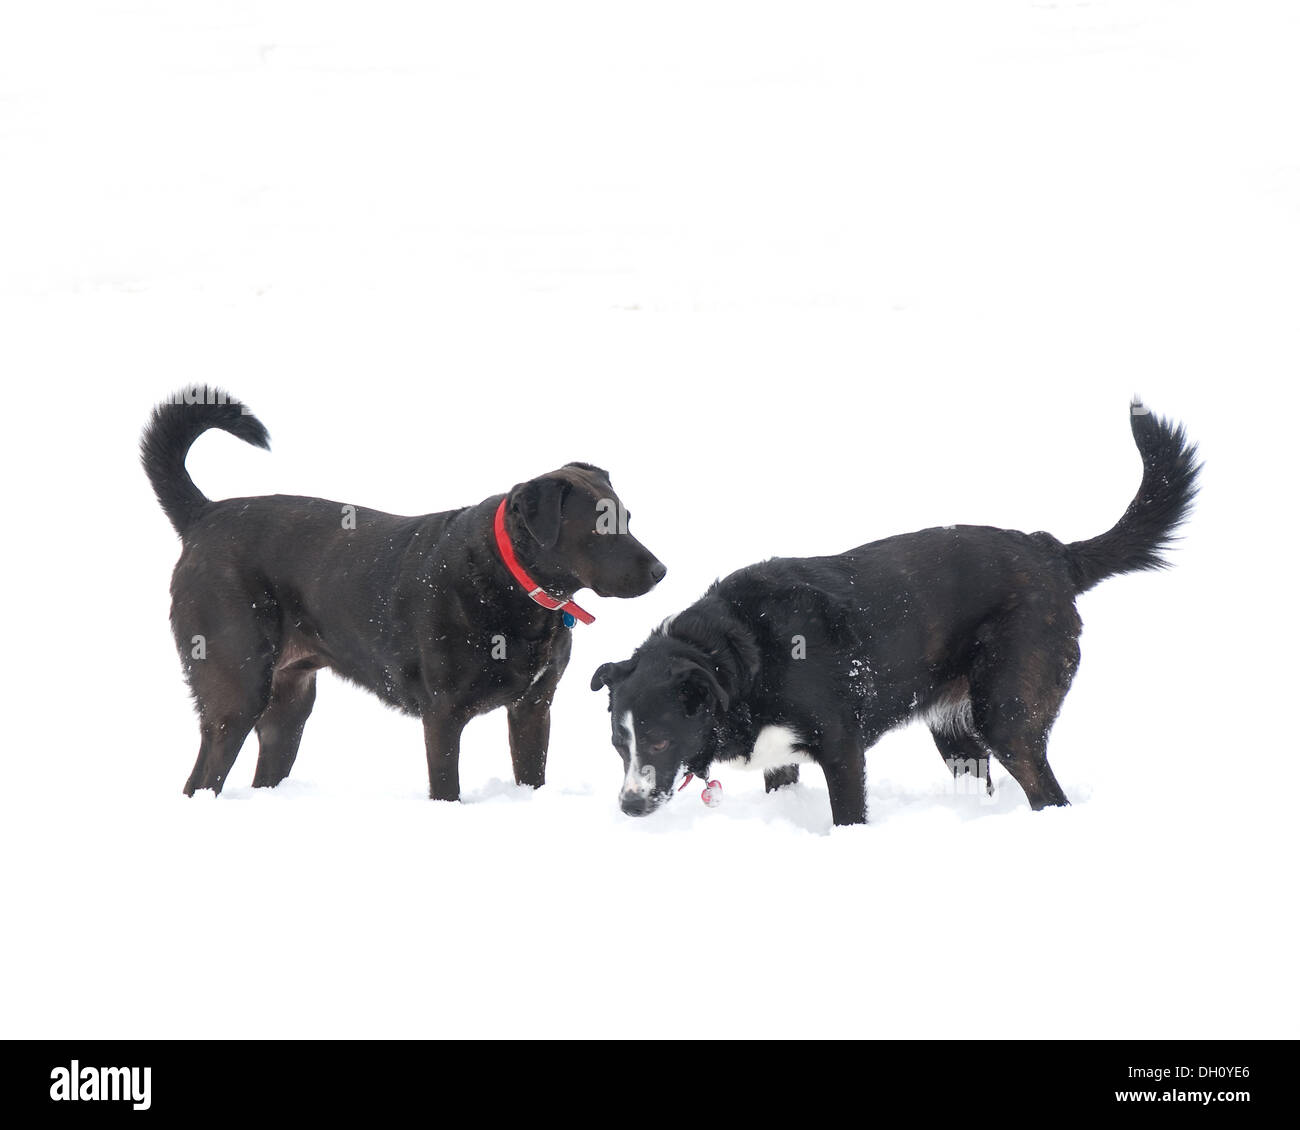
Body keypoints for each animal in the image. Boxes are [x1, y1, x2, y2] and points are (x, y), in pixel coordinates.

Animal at [147, 387, 665, 801]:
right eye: (600, 525)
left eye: (627, 518)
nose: (661, 571)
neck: (510, 583)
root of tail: (205, 514)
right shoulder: (443, 715)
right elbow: (447, 787)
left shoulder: (533, 707)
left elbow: (531, 774)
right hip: (237, 688)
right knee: (201, 780)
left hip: (289, 706)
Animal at [590, 400, 1196, 827]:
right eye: (619, 744)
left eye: (660, 740)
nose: (630, 807)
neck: (741, 653)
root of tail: (1052, 553)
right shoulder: (779, 757)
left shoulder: (841, 747)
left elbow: (847, 815)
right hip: (957, 729)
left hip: (1007, 711)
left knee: (1049, 795)